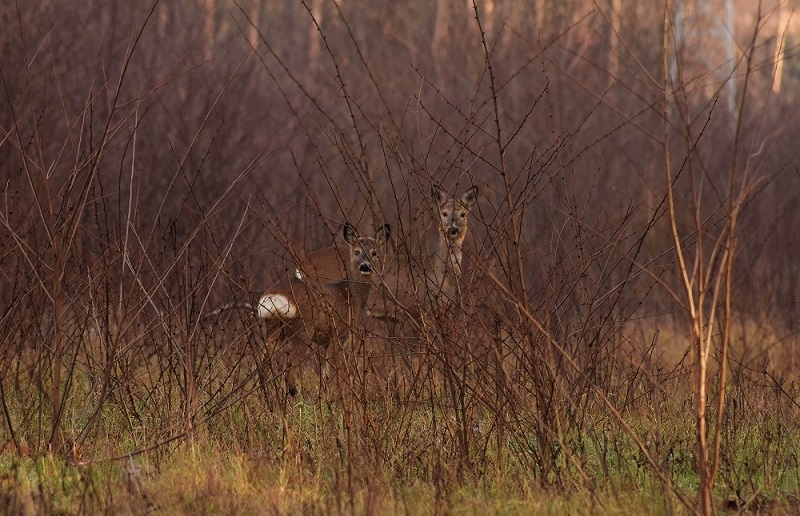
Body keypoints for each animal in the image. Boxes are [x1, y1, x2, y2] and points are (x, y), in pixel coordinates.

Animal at [260, 222, 390, 396]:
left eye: (374, 252)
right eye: (357, 251)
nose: (365, 266)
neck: (351, 295)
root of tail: (275, 295)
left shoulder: (324, 340)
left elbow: (324, 373)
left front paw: (327, 396)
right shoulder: (338, 333)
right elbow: (334, 370)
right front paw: (339, 395)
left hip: (273, 328)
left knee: (263, 366)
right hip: (303, 329)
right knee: (289, 369)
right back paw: (294, 394)